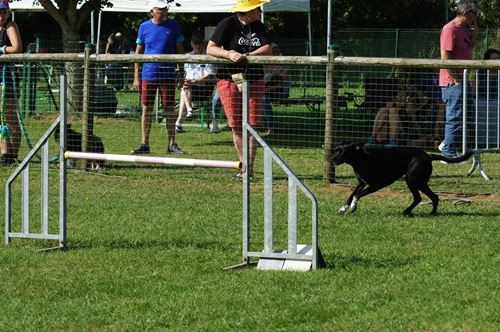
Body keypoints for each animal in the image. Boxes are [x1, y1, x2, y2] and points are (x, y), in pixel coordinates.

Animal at [332, 142, 472, 215]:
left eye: (342, 151)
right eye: (335, 150)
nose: (331, 158)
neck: (361, 158)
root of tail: (429, 156)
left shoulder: (376, 185)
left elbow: (357, 195)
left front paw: (353, 207)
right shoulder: (361, 183)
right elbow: (351, 195)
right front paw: (343, 208)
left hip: (412, 180)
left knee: (419, 198)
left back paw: (408, 211)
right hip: (419, 182)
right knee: (433, 197)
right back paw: (430, 213)